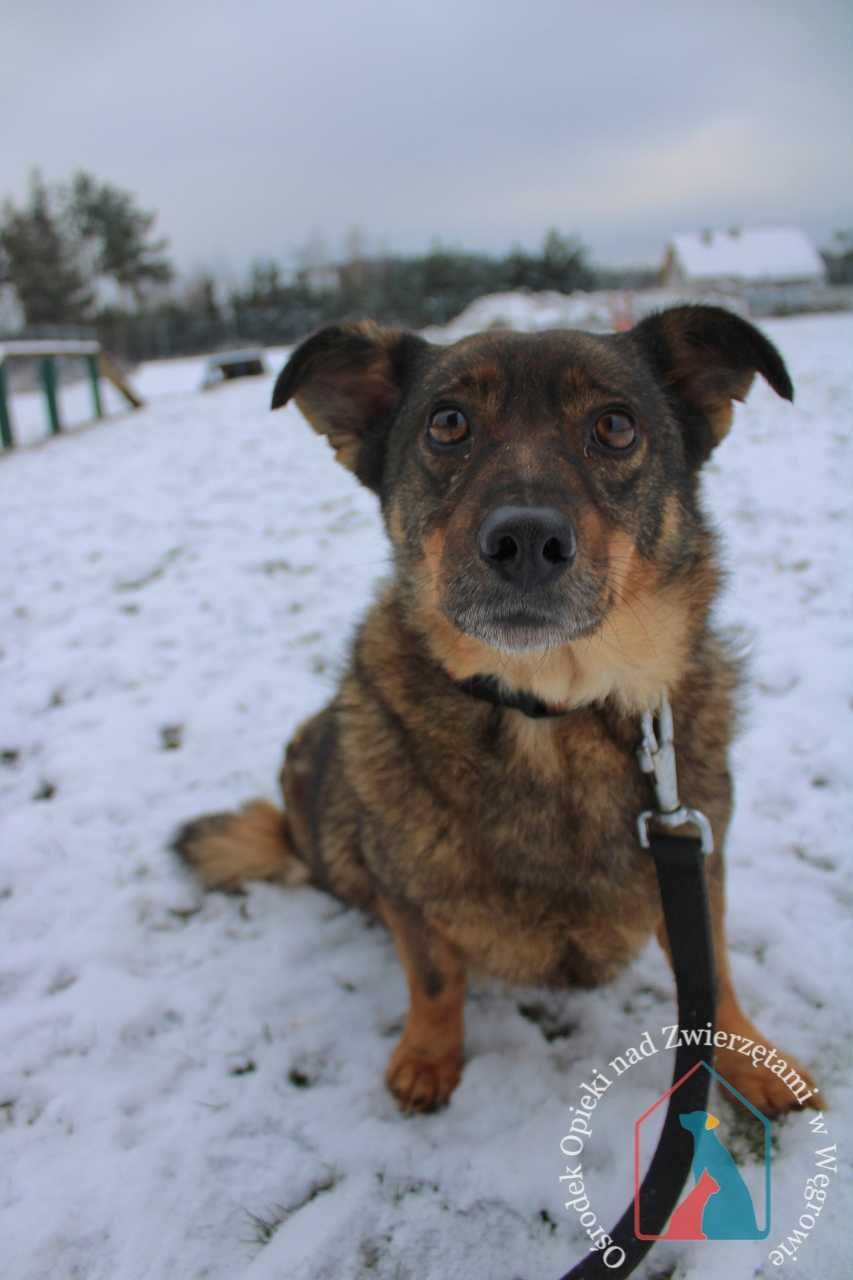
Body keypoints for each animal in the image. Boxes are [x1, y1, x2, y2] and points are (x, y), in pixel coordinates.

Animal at [172, 304, 819, 1116]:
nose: (526, 541)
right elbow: (433, 979)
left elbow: (716, 972)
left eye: (615, 425)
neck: (549, 708)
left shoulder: (697, 858)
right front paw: (428, 1058)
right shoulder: (407, 891)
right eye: (448, 422)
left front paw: (751, 1059)